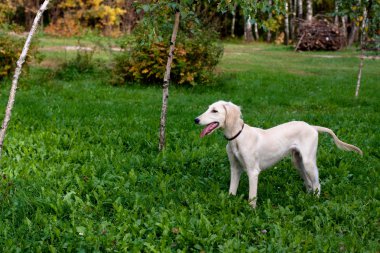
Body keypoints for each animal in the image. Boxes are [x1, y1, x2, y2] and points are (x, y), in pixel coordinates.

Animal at [194, 100, 364, 208]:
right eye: (208, 108)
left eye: (215, 110)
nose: (195, 120)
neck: (237, 137)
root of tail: (312, 126)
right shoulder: (235, 169)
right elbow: (232, 191)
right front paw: (229, 205)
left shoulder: (253, 172)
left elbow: (252, 197)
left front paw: (251, 212)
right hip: (297, 162)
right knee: (309, 184)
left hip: (308, 162)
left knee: (317, 184)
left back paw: (315, 202)